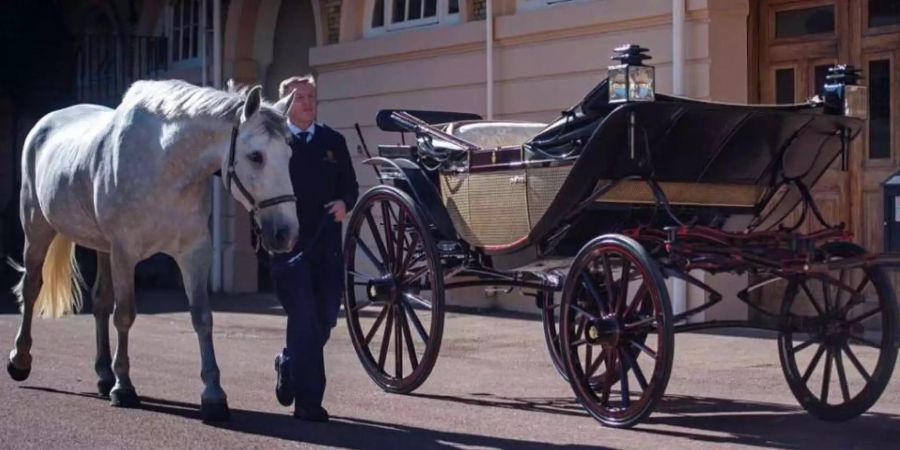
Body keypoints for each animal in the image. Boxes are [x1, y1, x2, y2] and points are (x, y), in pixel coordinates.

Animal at [5, 79, 298, 420]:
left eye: (289, 153)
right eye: (256, 156)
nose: (285, 233)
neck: (164, 163)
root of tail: (45, 122)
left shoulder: (194, 252)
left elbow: (202, 317)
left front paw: (213, 395)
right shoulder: (124, 251)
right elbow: (125, 314)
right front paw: (124, 388)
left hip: (101, 247)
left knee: (100, 302)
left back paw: (103, 375)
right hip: (38, 229)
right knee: (31, 287)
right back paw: (20, 360)